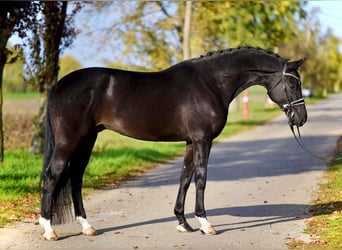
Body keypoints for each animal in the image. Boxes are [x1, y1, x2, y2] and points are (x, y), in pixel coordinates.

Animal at [38, 47, 306, 240]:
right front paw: (205, 224)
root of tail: (59, 85)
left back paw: (87, 226)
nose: (301, 119)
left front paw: (183, 223)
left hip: (87, 141)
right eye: (293, 84)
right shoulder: (202, 140)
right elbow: (201, 179)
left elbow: (185, 178)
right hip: (69, 142)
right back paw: (49, 229)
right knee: (53, 176)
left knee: (75, 178)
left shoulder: (190, 142)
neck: (211, 82)